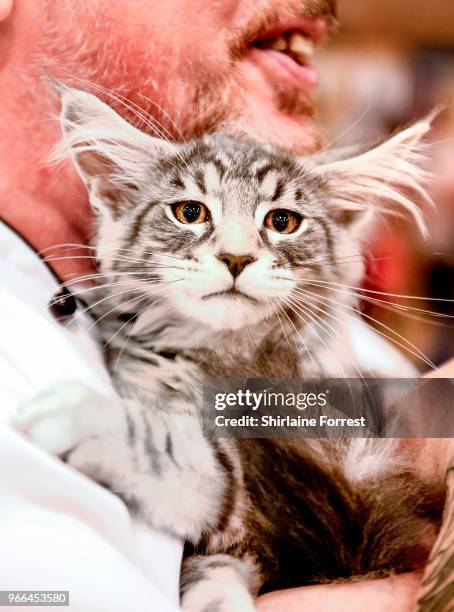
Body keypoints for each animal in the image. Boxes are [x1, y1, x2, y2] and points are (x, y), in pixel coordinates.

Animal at [16, 87, 444, 612]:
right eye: (190, 212)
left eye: (282, 221)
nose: (236, 257)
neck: (230, 360)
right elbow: (207, 476)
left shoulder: (337, 470)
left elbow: (207, 466)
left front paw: (86, 418)